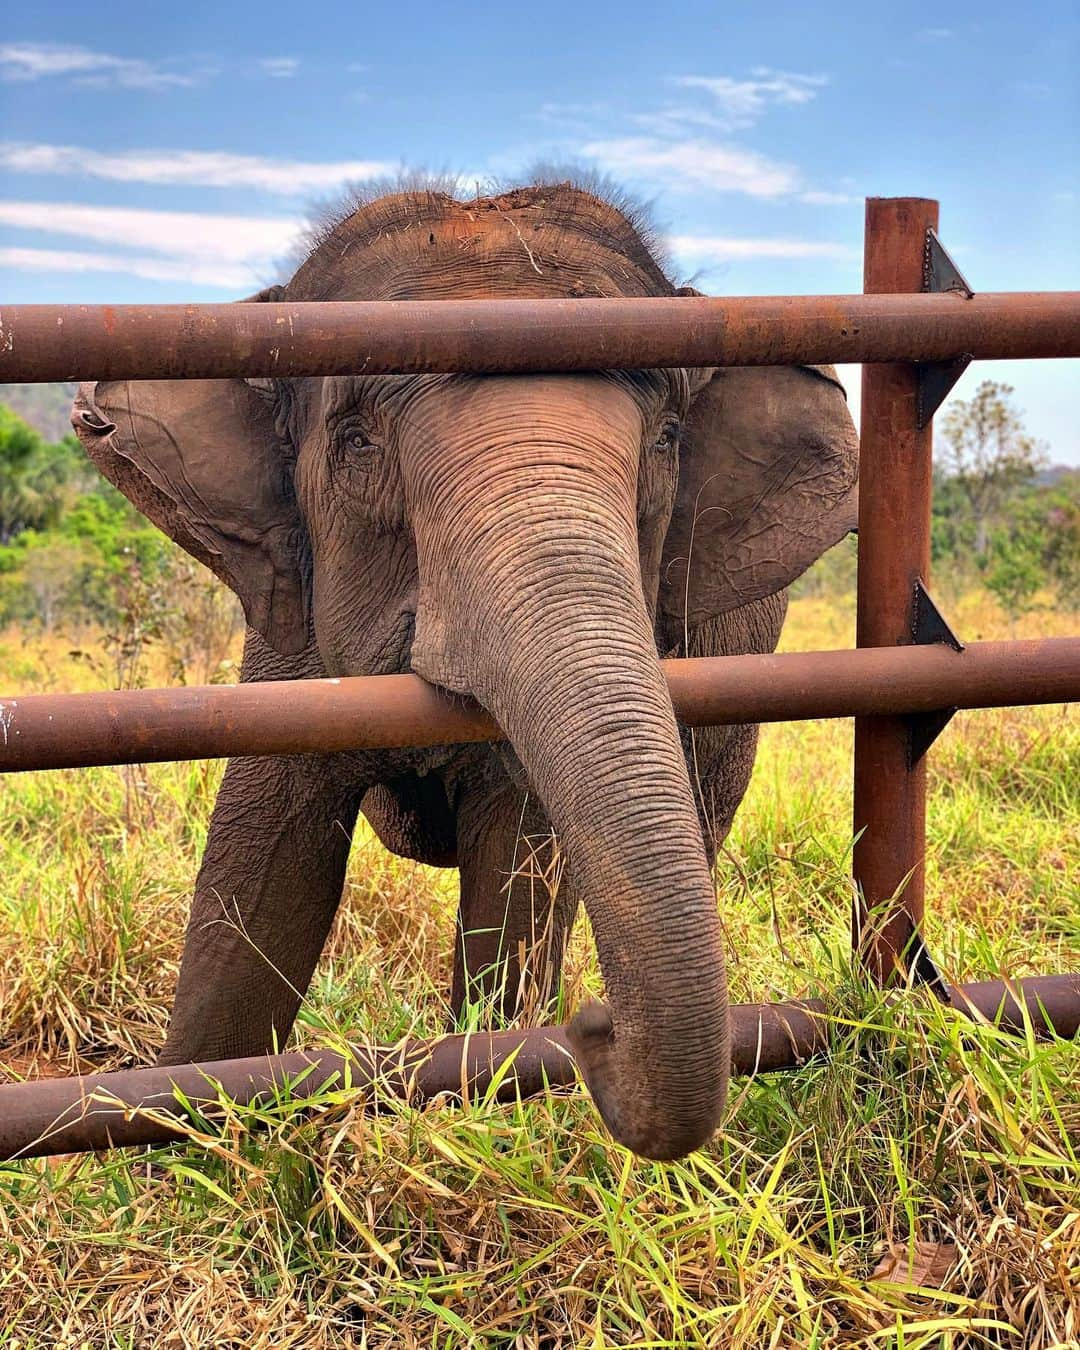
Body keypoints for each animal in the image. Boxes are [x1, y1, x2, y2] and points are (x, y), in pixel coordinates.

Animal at [71, 179, 858, 1161]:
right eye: (358, 443)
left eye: (668, 436)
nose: (595, 1027)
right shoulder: (293, 637)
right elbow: (260, 873)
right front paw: (183, 1140)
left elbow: (517, 867)